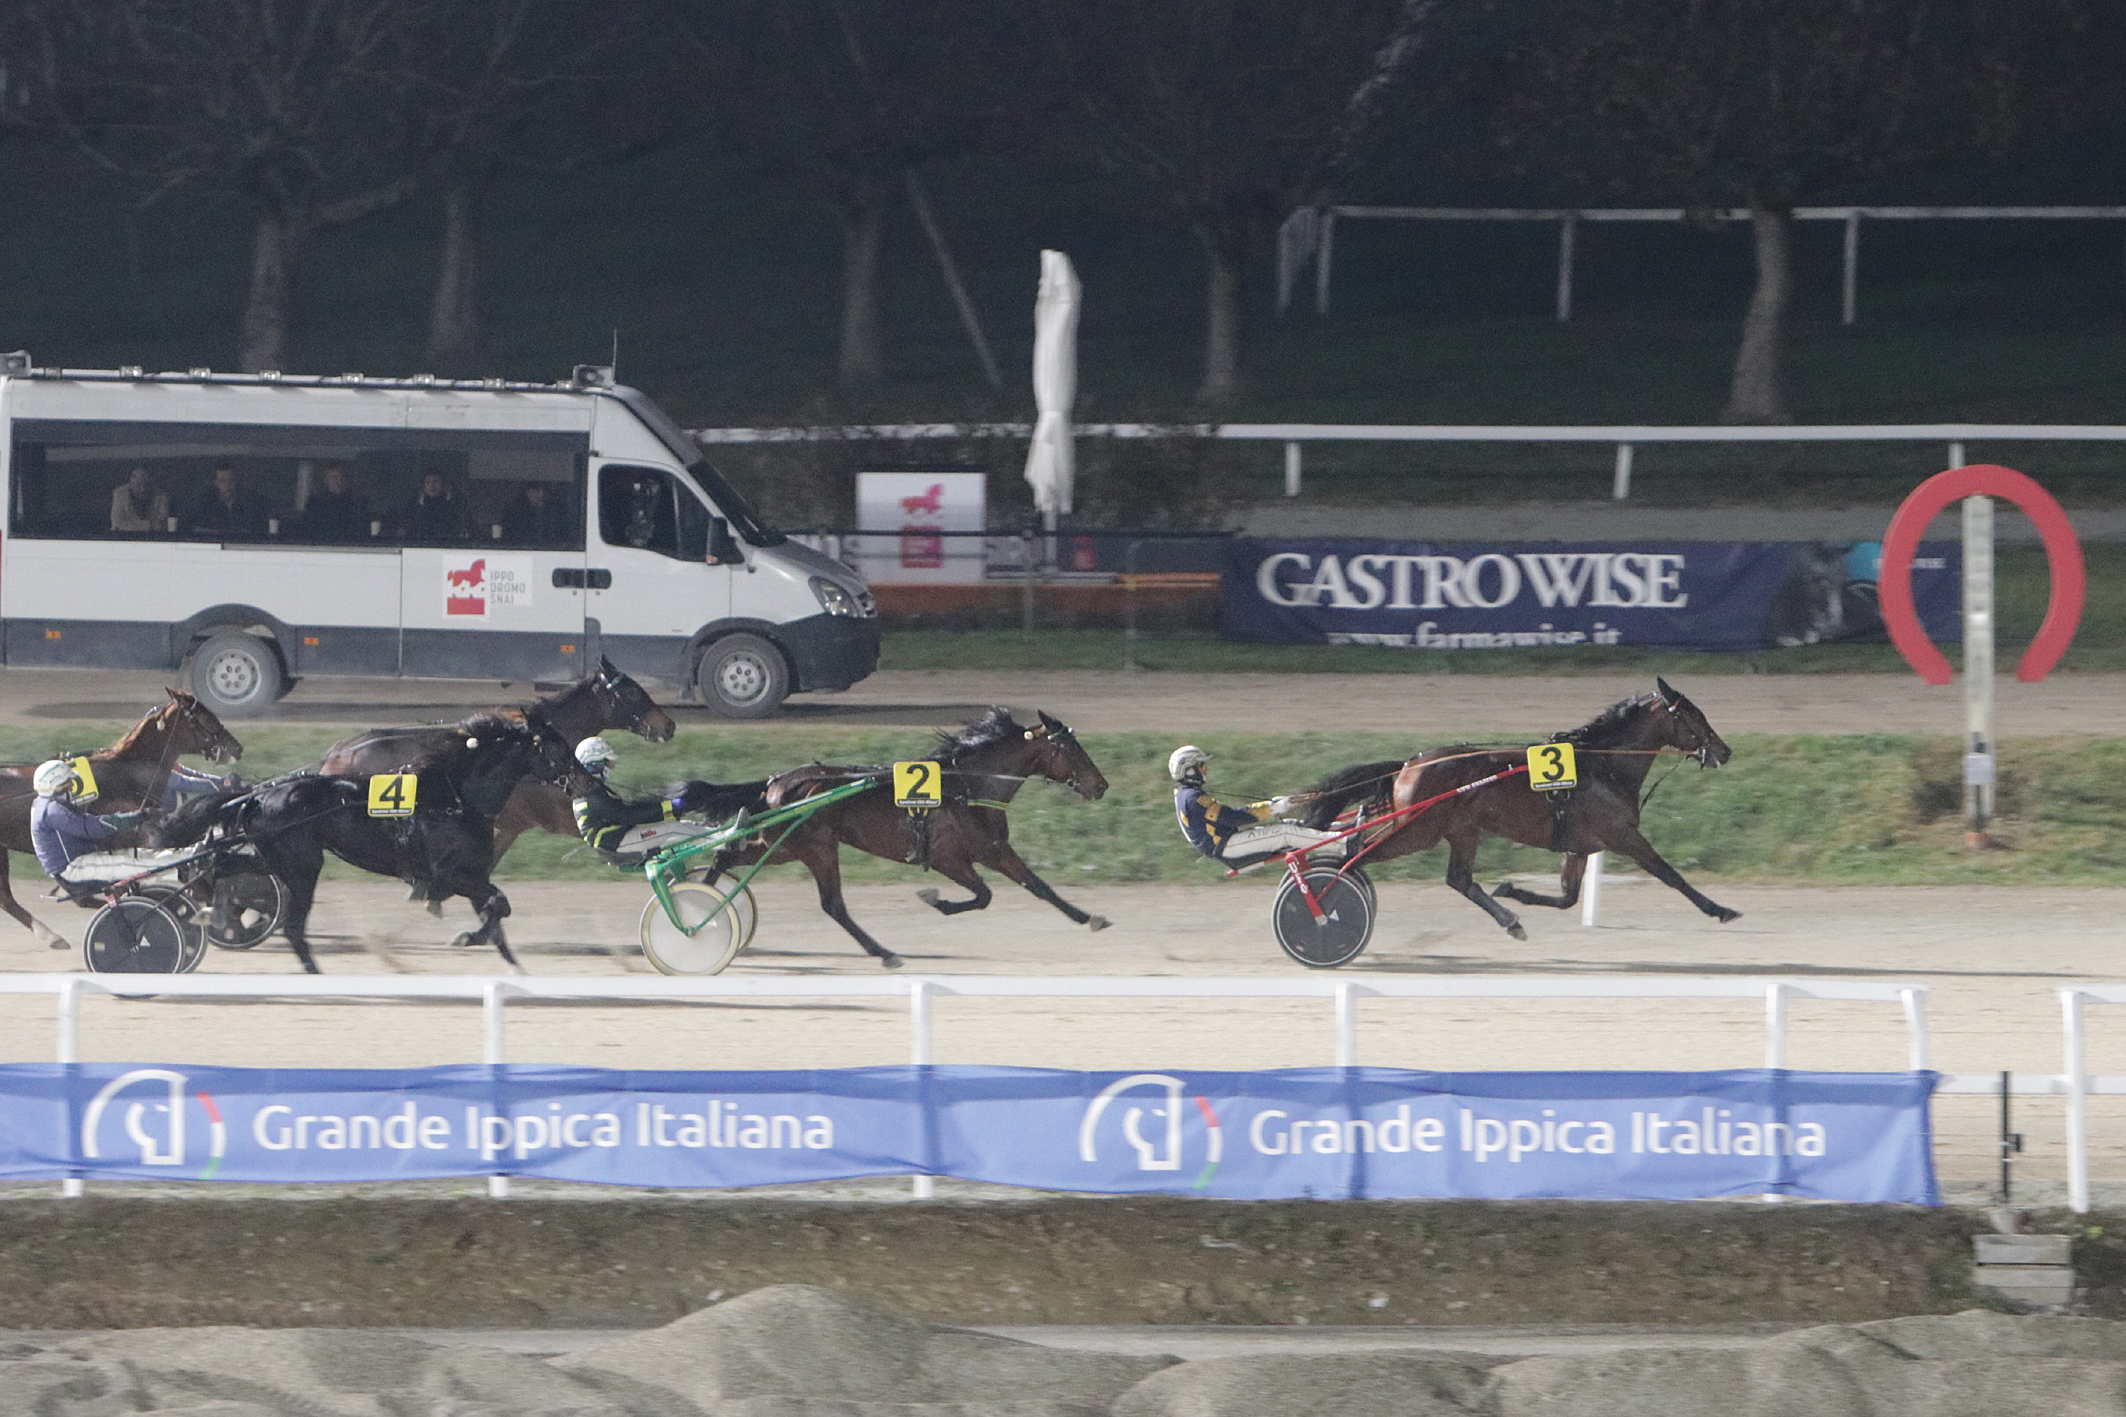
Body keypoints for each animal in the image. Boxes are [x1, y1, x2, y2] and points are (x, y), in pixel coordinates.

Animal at [155, 722, 582, 977]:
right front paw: (467, 938)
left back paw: (208, 906)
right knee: (291, 925)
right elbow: (498, 905)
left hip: (275, 857)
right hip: (302, 864)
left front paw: (512, 966)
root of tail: (260, 795)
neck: (454, 797)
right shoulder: (452, 875)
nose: (585, 780)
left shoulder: (472, 872)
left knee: (222, 867)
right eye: (558, 748)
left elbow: (496, 916)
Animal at [714, 713, 1114, 968]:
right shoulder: (949, 858)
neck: (968, 788)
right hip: (813, 848)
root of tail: (777, 783)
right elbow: (985, 895)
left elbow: (1038, 886)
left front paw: (1091, 917)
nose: (1101, 785)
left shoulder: (993, 850)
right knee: (833, 905)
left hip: (782, 847)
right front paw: (936, 899)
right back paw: (884, 952)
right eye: (1072, 748)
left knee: (724, 856)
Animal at [1301, 679, 1734, 943]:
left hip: (1460, 830)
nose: (1724, 751)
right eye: (1694, 714)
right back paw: (1323, 903)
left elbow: (1568, 898)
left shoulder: (1579, 845)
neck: (1604, 765)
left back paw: (1510, 920)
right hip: (1418, 831)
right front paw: (1720, 908)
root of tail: (1409, 764)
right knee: (1355, 856)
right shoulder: (1622, 835)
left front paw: (1513, 891)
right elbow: (1670, 875)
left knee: (1458, 879)